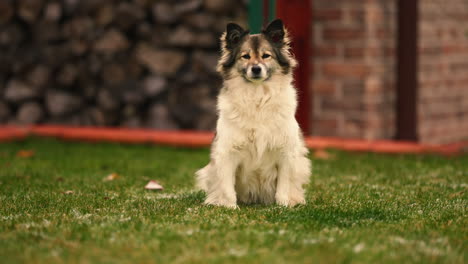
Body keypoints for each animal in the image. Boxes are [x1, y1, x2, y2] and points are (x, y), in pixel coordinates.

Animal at [197, 19, 310, 208]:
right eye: (245, 56)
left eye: (266, 56)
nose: (256, 69)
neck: (257, 97)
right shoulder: (227, 151)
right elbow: (226, 186)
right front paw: (230, 207)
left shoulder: (286, 151)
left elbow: (284, 184)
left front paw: (283, 205)